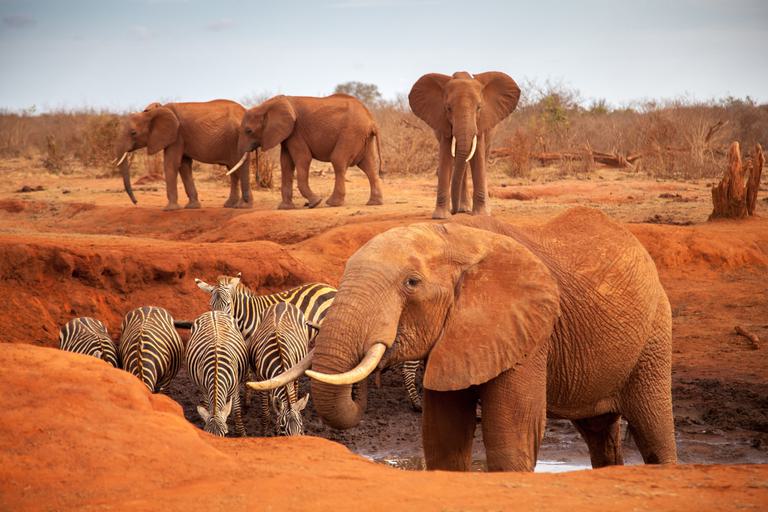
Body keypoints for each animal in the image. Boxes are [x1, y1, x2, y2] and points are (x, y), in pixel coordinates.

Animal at [114, 99, 253, 210]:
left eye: (133, 133)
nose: (136, 202)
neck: (153, 112)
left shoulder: (177, 135)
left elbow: (171, 164)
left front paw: (170, 209)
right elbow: (184, 165)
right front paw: (192, 207)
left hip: (236, 140)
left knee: (237, 168)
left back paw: (243, 206)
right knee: (233, 169)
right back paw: (231, 205)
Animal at [227, 94, 384, 210]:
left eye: (249, 131)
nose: (244, 204)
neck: (266, 106)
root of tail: (371, 121)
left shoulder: (296, 132)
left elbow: (303, 159)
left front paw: (315, 203)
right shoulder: (288, 135)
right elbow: (286, 163)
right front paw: (285, 208)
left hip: (351, 133)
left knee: (338, 160)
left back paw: (332, 203)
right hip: (363, 137)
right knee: (369, 166)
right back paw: (374, 203)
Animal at [247, 302, 315, 436]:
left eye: (302, 429)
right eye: (283, 430)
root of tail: (282, 303)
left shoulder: (291, 377)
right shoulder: (261, 380)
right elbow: (266, 415)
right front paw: (264, 434)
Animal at [293, 207, 676, 472]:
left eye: (411, 283)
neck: (456, 237)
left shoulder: (528, 332)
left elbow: (511, 438)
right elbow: (443, 437)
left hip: (655, 333)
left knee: (654, 430)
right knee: (600, 432)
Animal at [409, 71, 521, 219]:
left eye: (479, 108)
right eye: (448, 108)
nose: (453, 212)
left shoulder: (481, 123)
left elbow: (478, 155)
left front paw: (481, 215)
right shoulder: (443, 122)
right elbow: (446, 155)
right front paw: (441, 217)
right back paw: (463, 208)